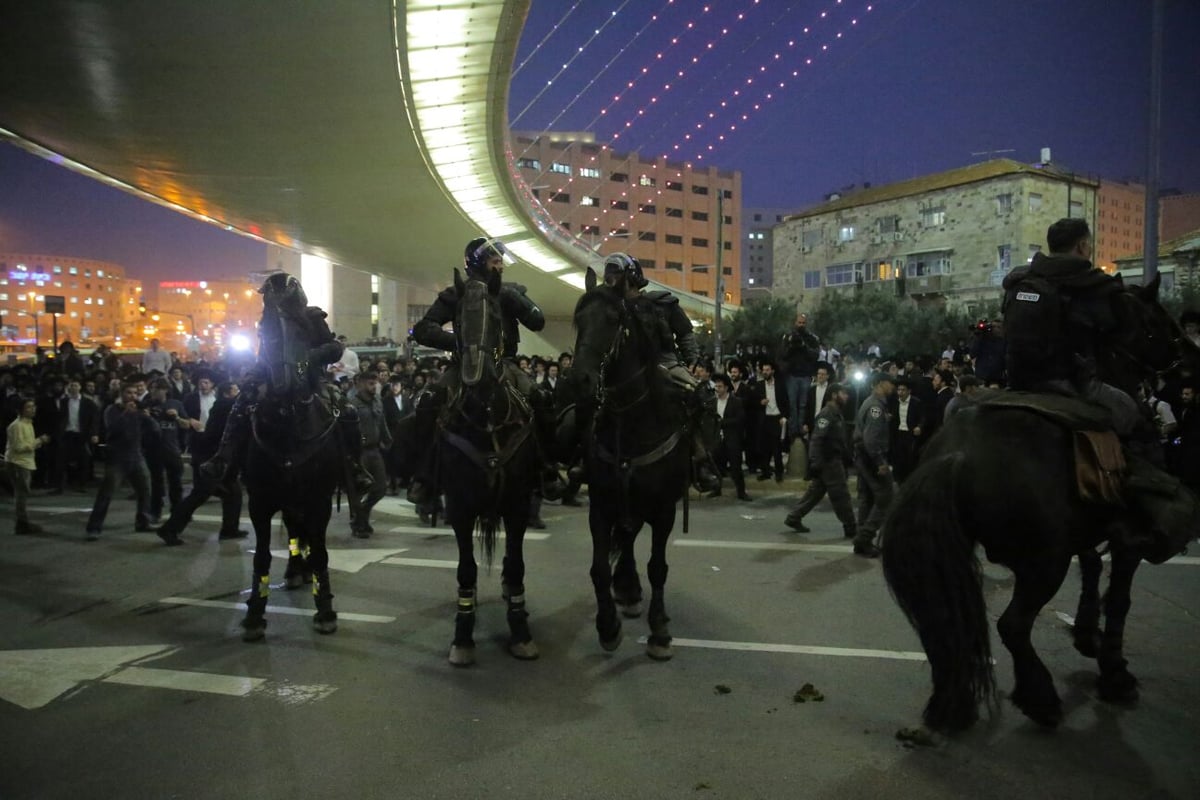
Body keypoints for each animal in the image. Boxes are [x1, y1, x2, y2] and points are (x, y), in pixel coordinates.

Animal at [439, 272, 542, 666]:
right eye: (456, 317)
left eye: (496, 315)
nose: (474, 376)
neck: (486, 416)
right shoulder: (459, 506)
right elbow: (466, 569)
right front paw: (462, 636)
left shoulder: (517, 504)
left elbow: (516, 565)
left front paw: (521, 630)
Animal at [568, 268, 691, 657]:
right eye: (578, 320)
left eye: (612, 319)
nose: (579, 380)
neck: (632, 420)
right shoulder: (602, 504)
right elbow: (598, 569)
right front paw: (607, 626)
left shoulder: (664, 509)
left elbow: (658, 567)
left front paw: (660, 630)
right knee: (627, 534)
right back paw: (627, 588)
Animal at [878, 278, 1195, 734]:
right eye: (1159, 322)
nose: (1190, 359)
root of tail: (955, 454)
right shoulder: (1125, 540)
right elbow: (1119, 598)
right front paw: (1115, 672)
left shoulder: (1088, 530)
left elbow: (1092, 569)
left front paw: (1086, 634)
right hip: (1044, 562)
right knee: (1013, 625)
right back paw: (1039, 697)